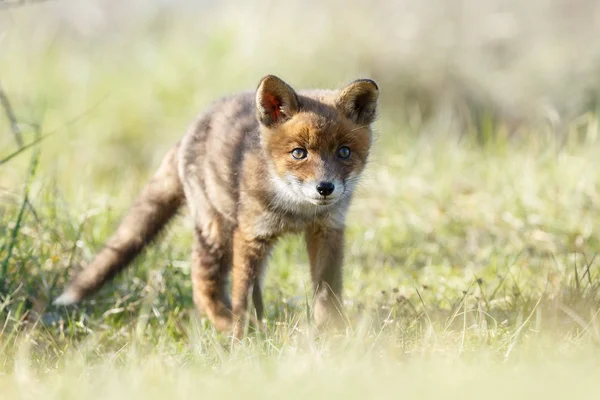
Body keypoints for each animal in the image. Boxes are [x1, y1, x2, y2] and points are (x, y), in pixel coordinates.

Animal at [54, 74, 378, 338]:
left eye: (344, 152)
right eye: (299, 153)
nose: (325, 188)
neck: (298, 211)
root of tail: (191, 130)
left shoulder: (326, 231)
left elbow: (328, 294)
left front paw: (333, 336)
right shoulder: (251, 235)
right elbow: (241, 295)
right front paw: (241, 343)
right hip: (218, 233)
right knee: (202, 284)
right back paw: (232, 326)